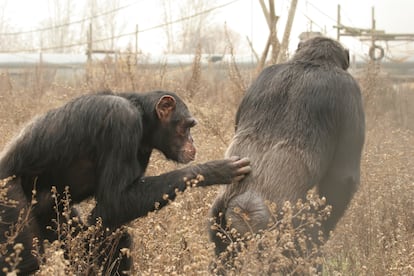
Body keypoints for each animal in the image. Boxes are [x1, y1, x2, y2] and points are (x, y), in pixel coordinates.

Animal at [0, 90, 252, 274]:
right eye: (187, 126)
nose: (193, 141)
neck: (142, 117)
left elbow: (113, 215)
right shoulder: (122, 123)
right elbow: (114, 200)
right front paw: (214, 169)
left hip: (51, 208)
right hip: (8, 197)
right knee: (26, 261)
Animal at [210, 36, 366, 258]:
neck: (312, 61)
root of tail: (248, 205)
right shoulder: (350, 93)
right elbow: (343, 177)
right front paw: (323, 229)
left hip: (219, 217)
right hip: (288, 228)